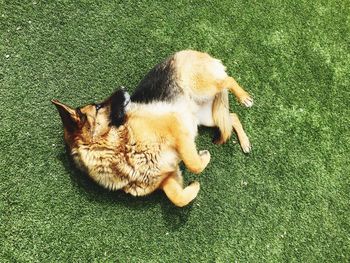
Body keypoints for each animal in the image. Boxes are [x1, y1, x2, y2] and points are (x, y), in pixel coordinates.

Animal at [52, 49, 252, 206]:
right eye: (99, 107)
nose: (123, 88)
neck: (122, 149)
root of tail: (187, 51)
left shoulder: (176, 126)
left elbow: (193, 164)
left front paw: (203, 158)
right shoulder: (168, 177)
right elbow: (178, 198)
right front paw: (194, 187)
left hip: (202, 88)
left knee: (228, 80)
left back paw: (244, 98)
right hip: (205, 117)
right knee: (232, 117)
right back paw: (245, 142)